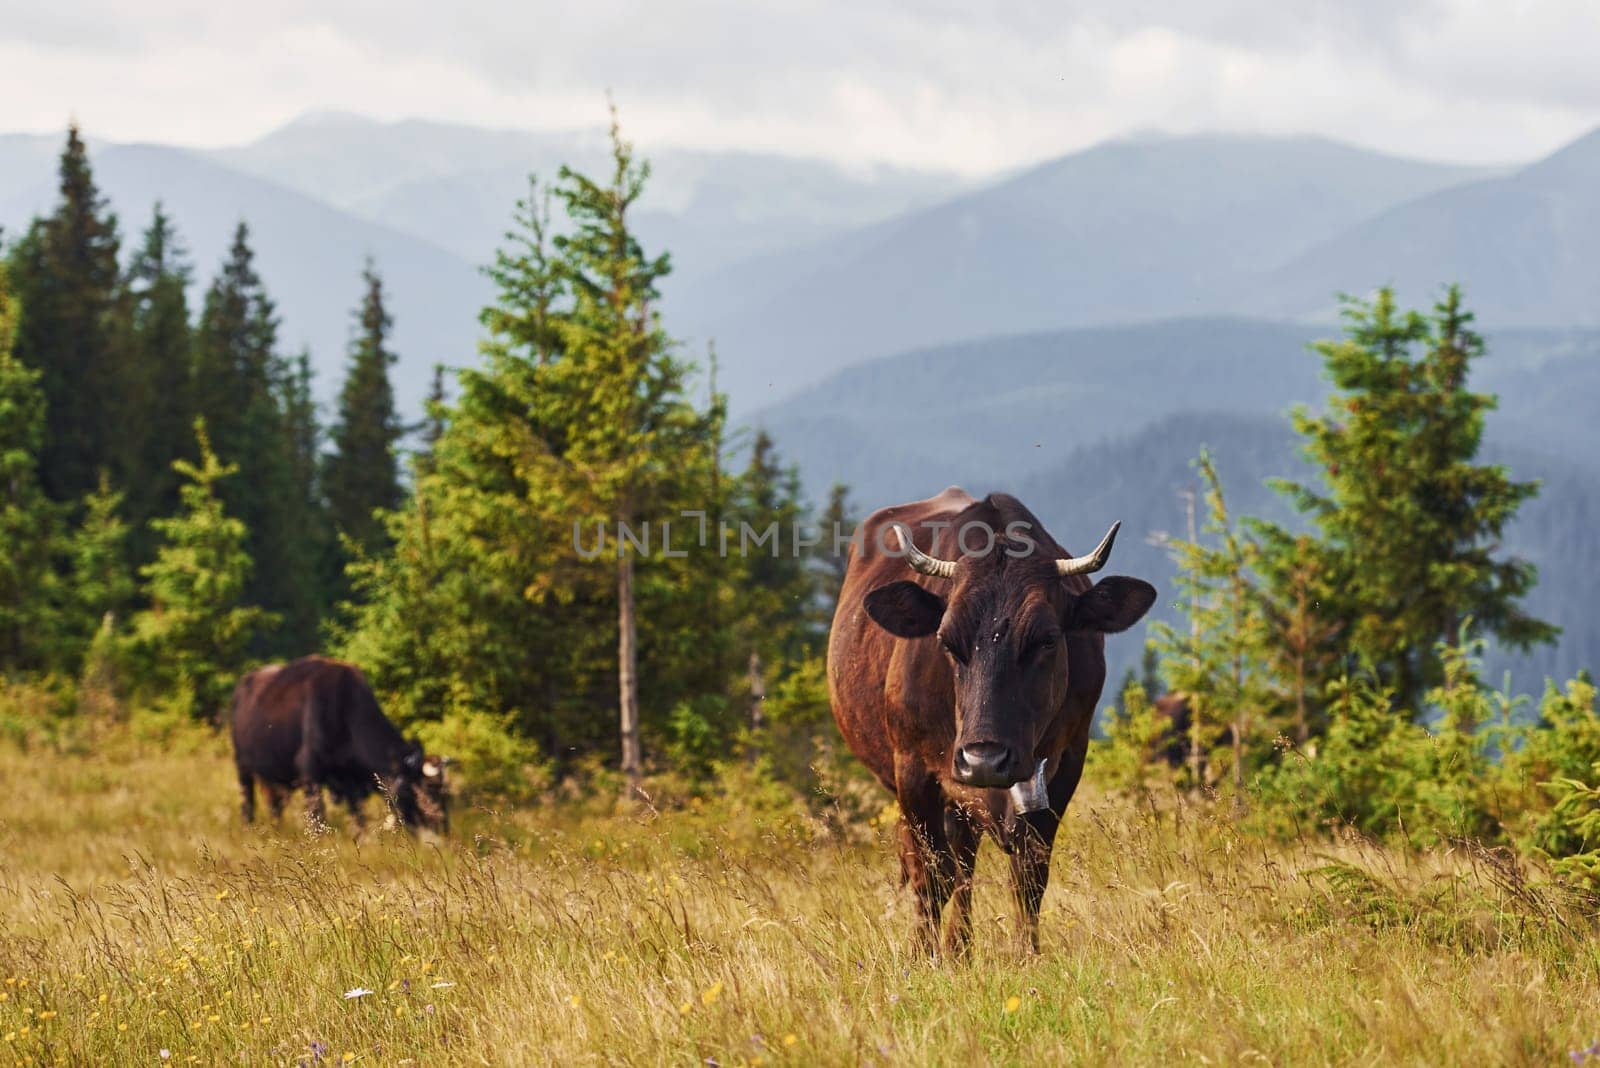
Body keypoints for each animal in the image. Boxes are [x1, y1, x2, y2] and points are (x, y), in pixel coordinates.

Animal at [228, 652, 448, 831]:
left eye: (443, 792)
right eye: (418, 791)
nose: (441, 826)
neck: (344, 709)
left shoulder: (350, 782)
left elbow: (358, 820)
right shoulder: (310, 773)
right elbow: (317, 815)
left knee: (275, 804)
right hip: (242, 766)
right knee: (248, 802)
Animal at [832, 489, 1158, 952]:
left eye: (1047, 639)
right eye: (946, 640)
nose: (984, 759)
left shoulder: (1066, 763)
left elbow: (1030, 875)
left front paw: (1026, 954)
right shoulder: (912, 770)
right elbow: (930, 876)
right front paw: (923, 956)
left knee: (965, 862)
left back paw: (960, 946)